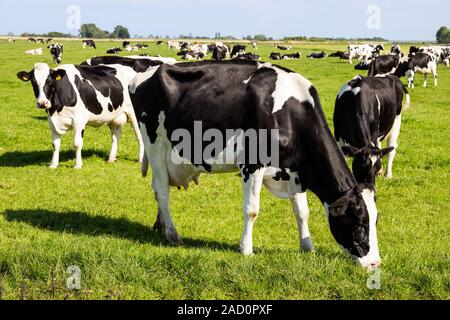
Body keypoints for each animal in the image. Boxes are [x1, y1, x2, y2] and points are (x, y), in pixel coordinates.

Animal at [130, 59, 384, 268]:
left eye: (375, 221)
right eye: (359, 223)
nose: (375, 264)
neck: (290, 112)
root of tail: (148, 71)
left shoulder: (296, 171)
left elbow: (302, 212)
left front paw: (308, 246)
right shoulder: (252, 163)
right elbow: (252, 210)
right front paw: (246, 249)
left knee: (157, 187)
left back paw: (161, 226)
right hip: (155, 145)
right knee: (163, 191)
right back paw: (173, 235)